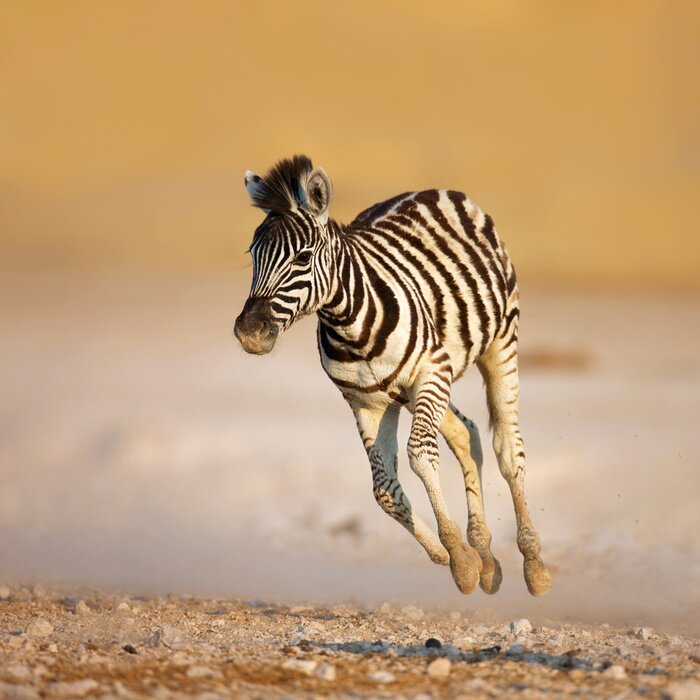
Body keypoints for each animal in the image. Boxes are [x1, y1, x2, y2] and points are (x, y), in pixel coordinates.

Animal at [234, 155, 551, 596]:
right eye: (253, 254)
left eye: (303, 258)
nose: (249, 332)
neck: (350, 326)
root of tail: (433, 190)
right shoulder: (366, 402)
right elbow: (383, 490)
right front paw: (453, 555)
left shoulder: (430, 371)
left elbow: (420, 455)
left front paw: (459, 557)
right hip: (417, 389)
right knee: (466, 433)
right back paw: (486, 556)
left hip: (495, 346)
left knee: (507, 448)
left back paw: (533, 563)